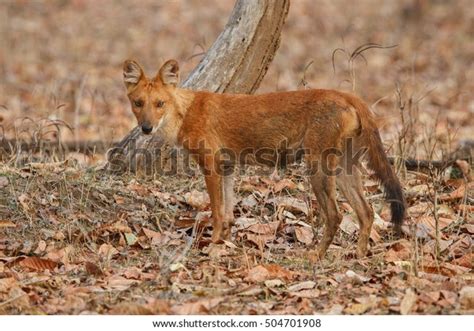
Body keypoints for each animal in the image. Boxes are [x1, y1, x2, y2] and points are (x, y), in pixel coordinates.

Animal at [123, 59, 408, 260]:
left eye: (159, 104)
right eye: (138, 103)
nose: (146, 128)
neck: (185, 112)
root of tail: (347, 95)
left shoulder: (210, 166)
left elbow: (216, 211)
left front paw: (211, 245)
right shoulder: (227, 166)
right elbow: (228, 213)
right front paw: (224, 241)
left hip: (317, 169)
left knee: (336, 215)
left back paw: (316, 255)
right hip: (344, 169)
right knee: (366, 212)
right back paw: (359, 255)